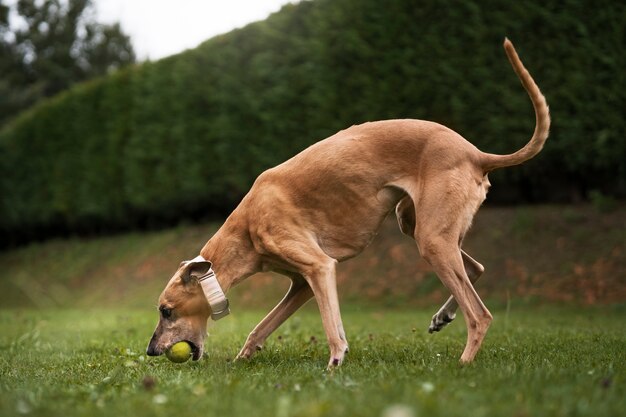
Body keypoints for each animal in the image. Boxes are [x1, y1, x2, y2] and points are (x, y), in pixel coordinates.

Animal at [145, 37, 544, 366]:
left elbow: (331, 325)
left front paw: (335, 362)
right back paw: (443, 316)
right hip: (417, 224)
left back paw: (463, 363)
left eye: (166, 311)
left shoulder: (320, 267)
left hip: (431, 238)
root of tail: (476, 153)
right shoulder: (301, 283)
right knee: (475, 268)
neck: (246, 228)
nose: (150, 351)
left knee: (481, 315)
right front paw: (244, 356)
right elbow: (262, 326)